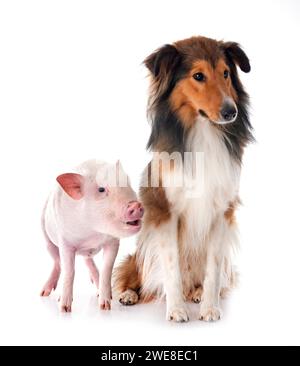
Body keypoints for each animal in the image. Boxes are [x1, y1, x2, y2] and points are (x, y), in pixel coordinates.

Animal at [113, 35, 254, 322]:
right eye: (198, 76)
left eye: (226, 73)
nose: (230, 112)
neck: (203, 132)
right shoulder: (165, 212)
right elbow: (171, 267)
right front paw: (176, 309)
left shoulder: (221, 211)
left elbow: (213, 270)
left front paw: (209, 308)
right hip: (141, 249)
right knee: (133, 274)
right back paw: (129, 295)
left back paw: (197, 292)